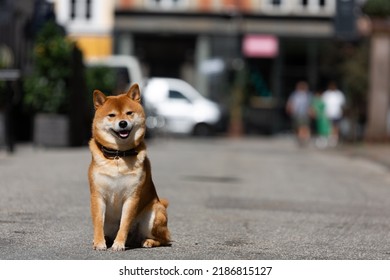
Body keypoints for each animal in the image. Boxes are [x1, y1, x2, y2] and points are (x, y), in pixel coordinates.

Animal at [88, 83, 171, 252]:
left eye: (129, 113)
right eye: (112, 115)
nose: (123, 123)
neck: (119, 155)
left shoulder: (132, 197)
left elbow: (124, 223)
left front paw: (119, 243)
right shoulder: (97, 195)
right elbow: (98, 221)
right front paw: (99, 242)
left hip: (155, 213)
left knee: (164, 239)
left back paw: (148, 241)